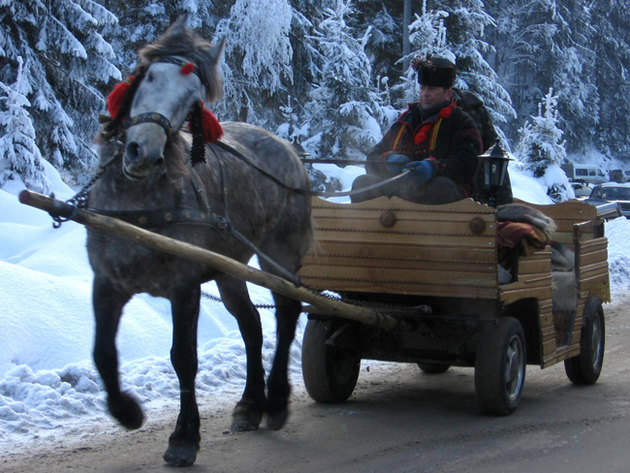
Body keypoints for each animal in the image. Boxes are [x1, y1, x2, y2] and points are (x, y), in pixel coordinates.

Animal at [87, 17, 314, 464]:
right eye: (149, 75)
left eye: (193, 99)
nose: (142, 153)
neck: (137, 207)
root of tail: (288, 150)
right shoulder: (107, 282)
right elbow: (102, 354)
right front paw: (127, 412)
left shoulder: (184, 285)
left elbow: (184, 358)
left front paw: (184, 437)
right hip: (230, 268)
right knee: (251, 324)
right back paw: (249, 406)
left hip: (278, 254)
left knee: (286, 315)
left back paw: (277, 401)